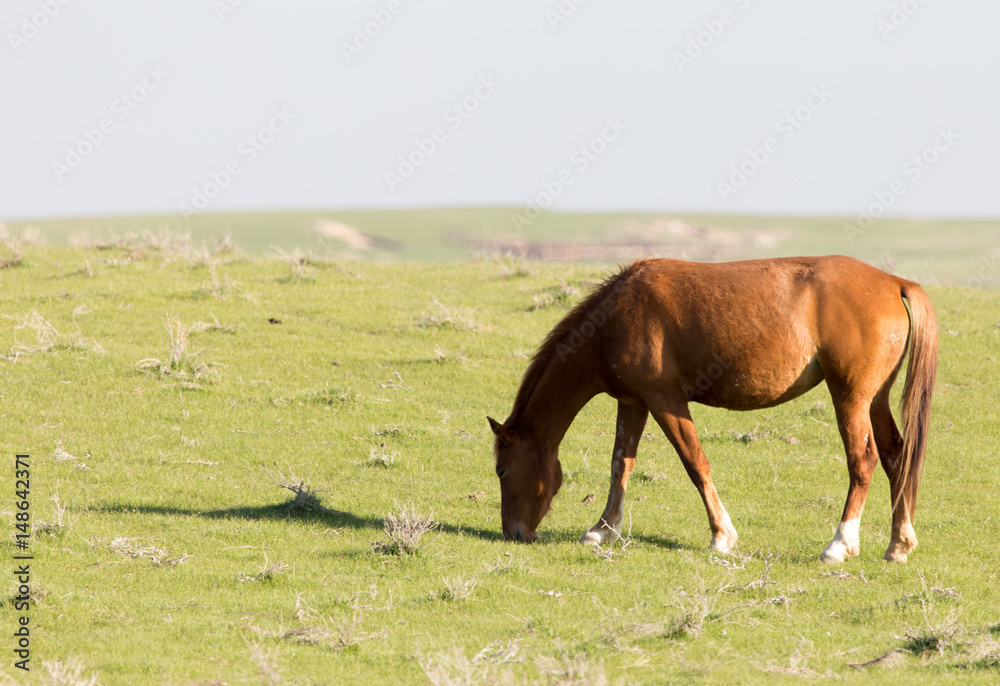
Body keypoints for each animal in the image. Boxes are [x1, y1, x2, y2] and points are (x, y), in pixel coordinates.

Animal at [488, 256, 937, 563]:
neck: (615, 318)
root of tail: (893, 282)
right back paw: (899, 544)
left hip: (850, 398)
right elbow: (620, 464)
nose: (513, 534)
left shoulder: (666, 401)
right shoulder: (633, 402)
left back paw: (839, 544)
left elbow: (695, 463)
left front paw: (722, 535)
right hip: (874, 400)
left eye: (502, 471)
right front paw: (603, 530)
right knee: (897, 457)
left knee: (863, 461)